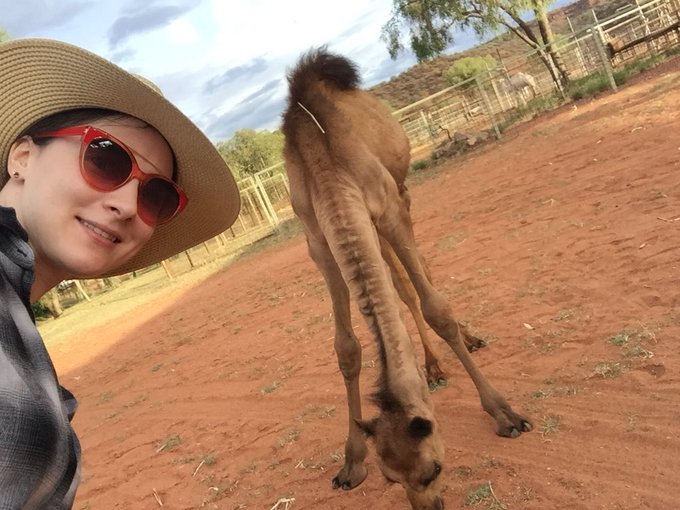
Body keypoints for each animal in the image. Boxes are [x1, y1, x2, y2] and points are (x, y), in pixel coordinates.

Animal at [281, 48, 532, 510]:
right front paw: (350, 462)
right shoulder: (320, 243)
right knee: (401, 287)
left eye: (434, 469)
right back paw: (431, 367)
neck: (326, 161)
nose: (430, 507)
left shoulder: (390, 207)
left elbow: (436, 308)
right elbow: (347, 348)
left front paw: (504, 413)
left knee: (421, 279)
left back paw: (467, 341)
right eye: (391, 478)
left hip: (402, 192)